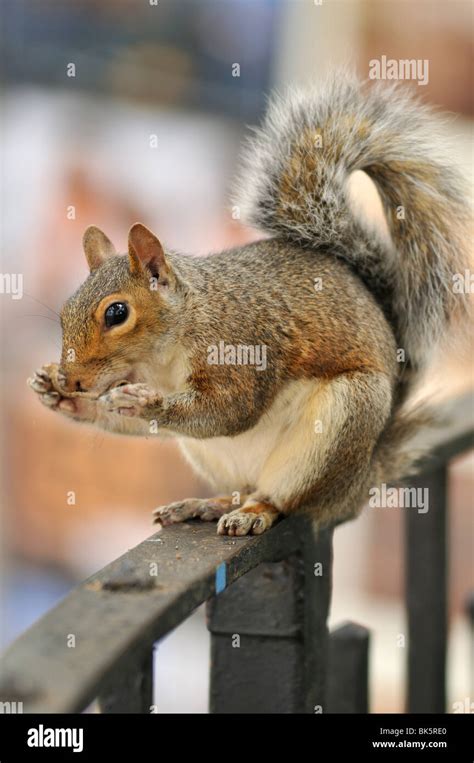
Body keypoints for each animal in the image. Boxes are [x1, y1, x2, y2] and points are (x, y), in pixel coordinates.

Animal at [28, 71, 470, 536]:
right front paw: (56, 393)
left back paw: (255, 511)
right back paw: (205, 504)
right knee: (239, 489)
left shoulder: (238, 345)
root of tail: (360, 481)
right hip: (216, 458)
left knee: (283, 499)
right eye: (64, 312)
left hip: (340, 425)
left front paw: (146, 403)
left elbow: (231, 410)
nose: (71, 378)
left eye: (117, 313)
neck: (165, 353)